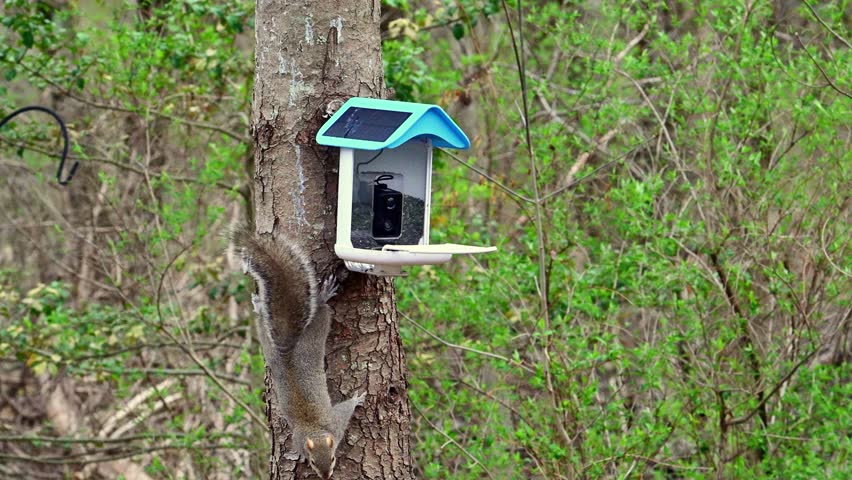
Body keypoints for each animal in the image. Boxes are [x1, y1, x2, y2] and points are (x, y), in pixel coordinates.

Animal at [231, 228, 365, 479]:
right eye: (313, 462)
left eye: (333, 458)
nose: (326, 476)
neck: (315, 431)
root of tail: (288, 349)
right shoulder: (305, 436)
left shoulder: (335, 424)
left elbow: (346, 409)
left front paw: (358, 398)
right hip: (283, 346)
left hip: (298, 338)